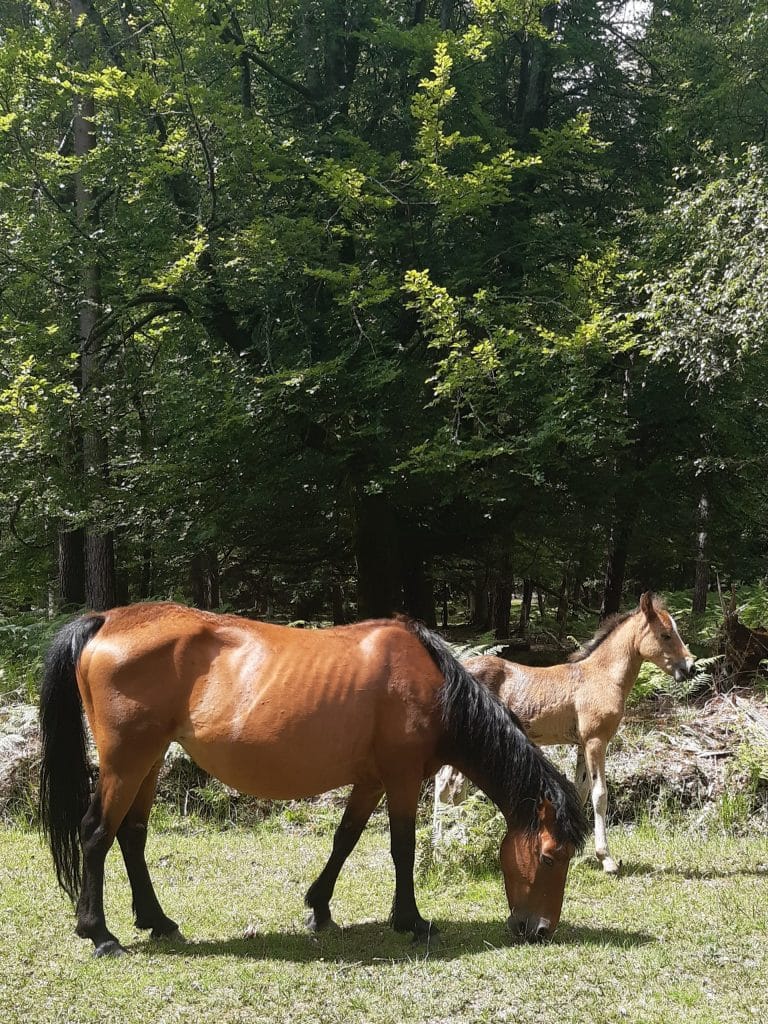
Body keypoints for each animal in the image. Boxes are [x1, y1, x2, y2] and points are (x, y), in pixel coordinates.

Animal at [38, 604, 589, 957]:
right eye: (549, 856)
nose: (539, 930)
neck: (434, 687)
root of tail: (107, 619)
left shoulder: (372, 781)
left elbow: (345, 838)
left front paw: (319, 909)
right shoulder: (402, 778)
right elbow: (403, 848)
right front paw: (411, 921)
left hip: (148, 762)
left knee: (131, 836)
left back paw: (158, 921)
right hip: (126, 763)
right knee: (96, 834)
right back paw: (100, 935)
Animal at [434, 592, 695, 873]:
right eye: (666, 634)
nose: (690, 667)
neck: (602, 676)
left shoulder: (582, 744)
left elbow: (580, 792)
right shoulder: (596, 741)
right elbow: (600, 795)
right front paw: (607, 859)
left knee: (451, 787)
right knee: (447, 787)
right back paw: (443, 850)